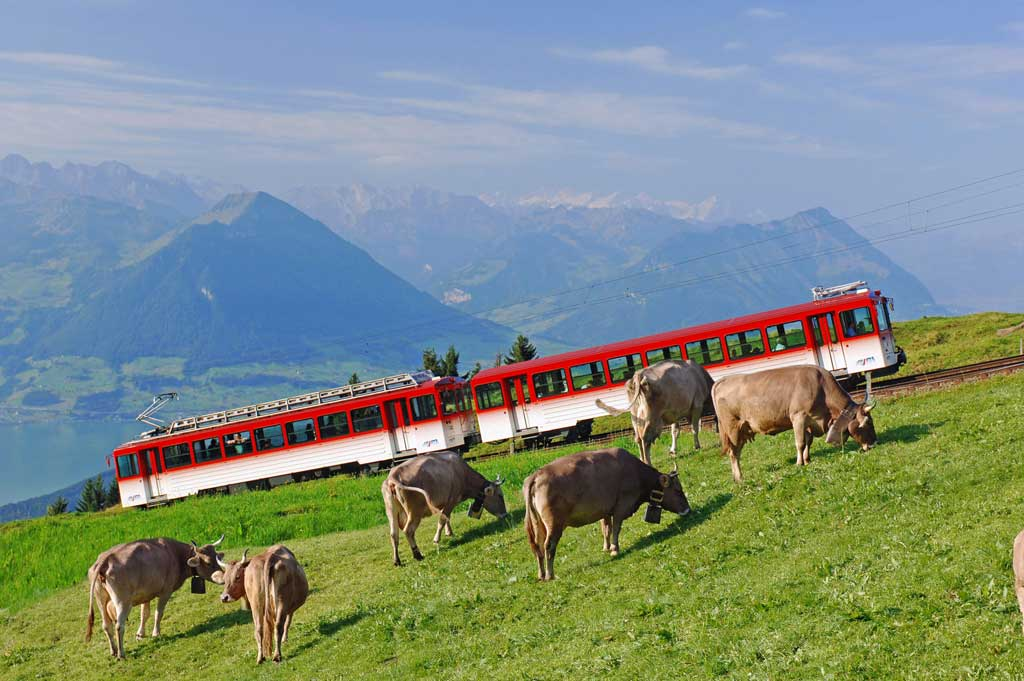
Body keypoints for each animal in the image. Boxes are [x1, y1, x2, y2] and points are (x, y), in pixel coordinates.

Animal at [86, 532, 226, 655]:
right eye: (208, 562)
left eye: (218, 559)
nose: (224, 577)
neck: (175, 554)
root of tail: (106, 558)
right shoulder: (166, 592)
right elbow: (158, 613)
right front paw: (156, 633)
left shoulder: (146, 594)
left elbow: (144, 614)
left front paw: (140, 634)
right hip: (123, 602)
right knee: (119, 626)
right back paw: (121, 653)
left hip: (100, 600)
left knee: (106, 626)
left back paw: (114, 651)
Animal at [528, 446, 688, 577]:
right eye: (678, 490)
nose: (687, 510)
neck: (636, 472)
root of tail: (537, 475)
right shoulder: (621, 507)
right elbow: (616, 528)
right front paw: (614, 549)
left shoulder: (604, 511)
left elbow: (606, 529)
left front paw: (606, 547)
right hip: (554, 524)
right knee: (548, 545)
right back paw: (550, 574)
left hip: (539, 525)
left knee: (537, 547)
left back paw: (541, 574)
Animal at [712, 366, 872, 483]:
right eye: (867, 423)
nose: (873, 443)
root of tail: (723, 380)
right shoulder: (798, 417)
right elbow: (800, 443)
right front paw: (799, 463)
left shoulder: (809, 422)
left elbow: (808, 441)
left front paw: (807, 460)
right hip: (733, 429)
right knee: (734, 453)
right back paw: (739, 477)